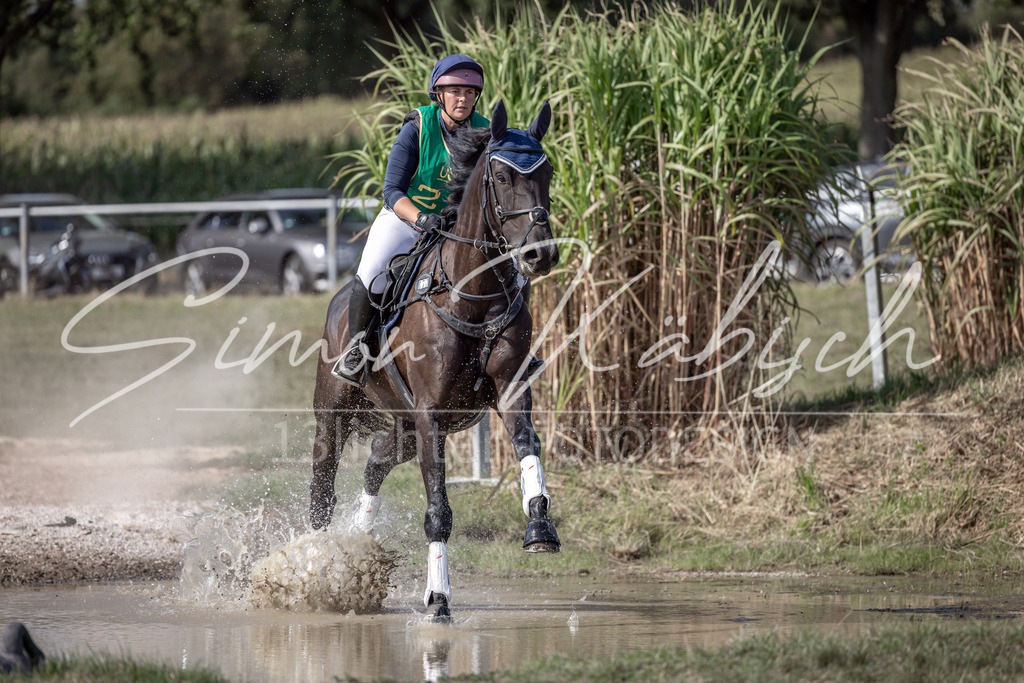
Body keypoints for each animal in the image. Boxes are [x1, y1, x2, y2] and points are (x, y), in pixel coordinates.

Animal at [309, 99, 561, 620]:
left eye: (546, 172)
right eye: (501, 176)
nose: (540, 254)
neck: (472, 292)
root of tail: (337, 300)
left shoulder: (510, 393)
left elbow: (527, 446)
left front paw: (540, 528)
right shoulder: (429, 415)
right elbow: (438, 512)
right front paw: (439, 598)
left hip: (404, 425)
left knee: (377, 461)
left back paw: (358, 543)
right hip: (336, 411)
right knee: (322, 487)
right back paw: (315, 562)